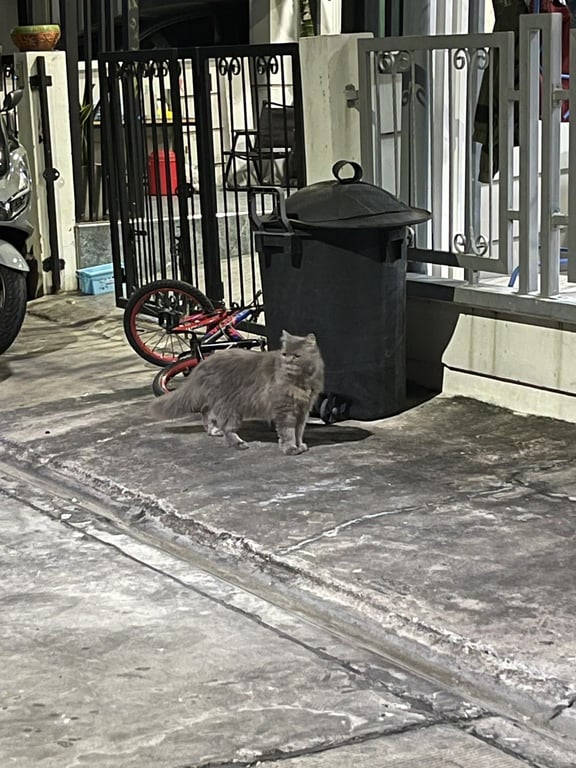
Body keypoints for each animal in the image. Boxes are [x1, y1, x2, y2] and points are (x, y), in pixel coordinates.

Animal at [151, 330, 325, 455]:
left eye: (296, 356)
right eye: (284, 354)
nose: (287, 361)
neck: (300, 382)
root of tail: (203, 364)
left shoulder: (303, 411)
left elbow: (299, 431)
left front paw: (300, 445)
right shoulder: (285, 410)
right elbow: (288, 432)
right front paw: (291, 449)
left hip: (219, 402)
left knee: (207, 412)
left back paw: (213, 431)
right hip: (230, 407)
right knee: (227, 428)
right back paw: (238, 443)